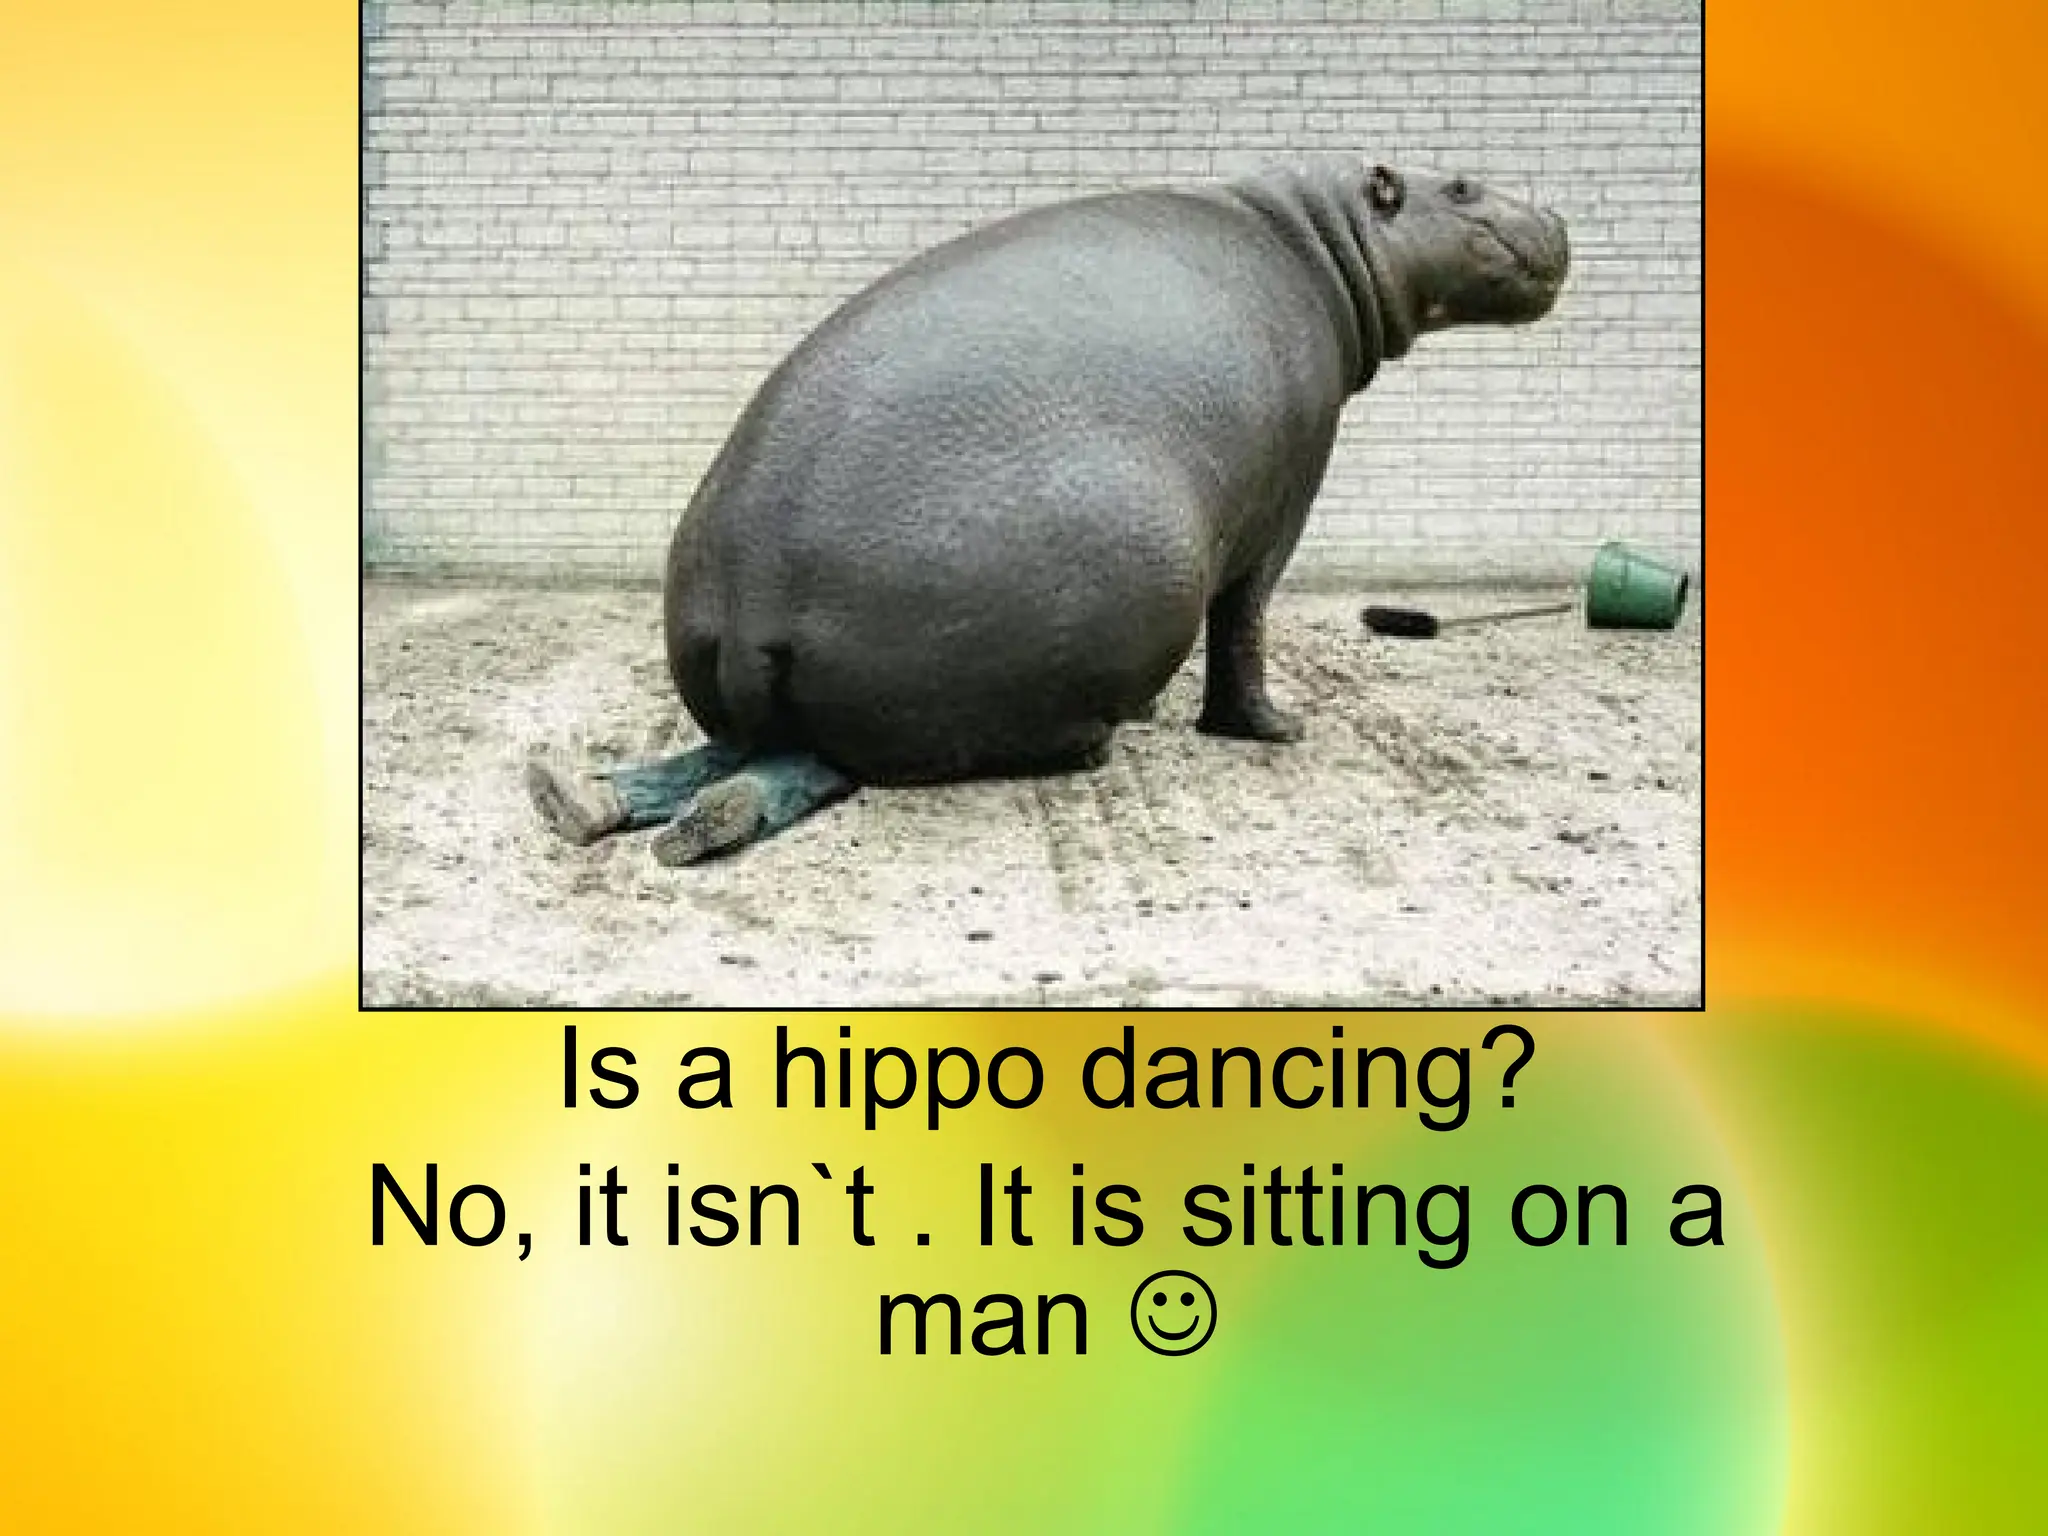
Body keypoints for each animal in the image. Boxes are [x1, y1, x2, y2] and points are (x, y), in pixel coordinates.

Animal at [528, 156, 1569, 863]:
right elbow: (1245, 625)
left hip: (748, 672)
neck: (1319, 237)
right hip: (1116, 597)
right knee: (845, 761)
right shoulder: (1289, 494)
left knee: (754, 756)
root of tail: (756, 591)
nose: (1558, 211)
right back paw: (1103, 742)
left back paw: (584, 797)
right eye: (1462, 185)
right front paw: (1277, 732)